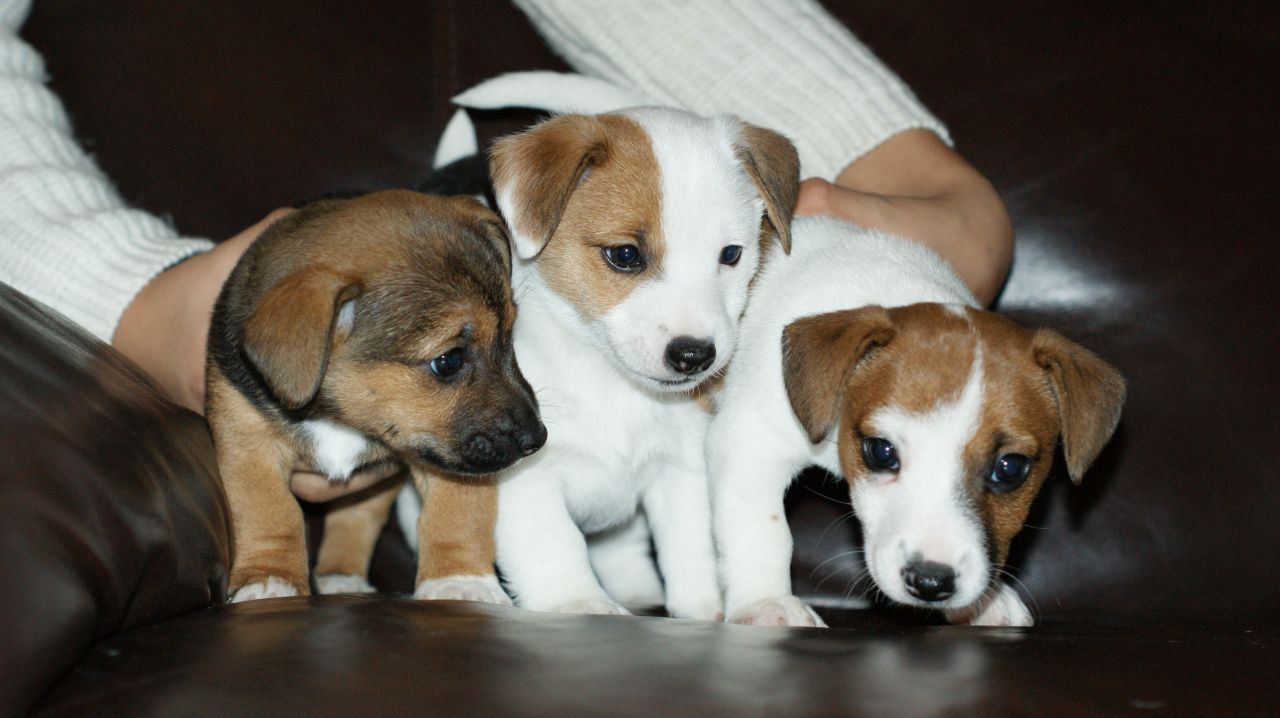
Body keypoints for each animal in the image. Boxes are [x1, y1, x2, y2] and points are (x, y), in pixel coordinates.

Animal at [206, 189, 545, 598]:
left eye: (509, 335)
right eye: (449, 360)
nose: (536, 439)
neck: (339, 418)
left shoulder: (450, 459)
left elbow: (456, 513)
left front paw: (460, 580)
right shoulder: (247, 443)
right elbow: (270, 510)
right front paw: (270, 578)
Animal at [404, 72, 793, 614]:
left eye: (731, 255)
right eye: (625, 255)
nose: (694, 355)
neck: (605, 376)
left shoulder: (681, 469)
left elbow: (690, 548)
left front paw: (704, 612)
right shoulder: (523, 474)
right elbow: (555, 544)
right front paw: (578, 604)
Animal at [706, 215, 1126, 624]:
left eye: (1010, 468)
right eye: (881, 451)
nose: (930, 582)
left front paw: (983, 603)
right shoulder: (751, 443)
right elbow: (764, 530)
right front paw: (766, 602)